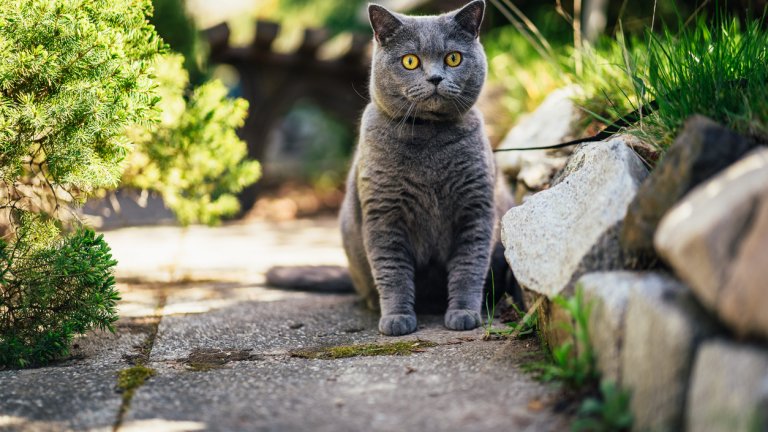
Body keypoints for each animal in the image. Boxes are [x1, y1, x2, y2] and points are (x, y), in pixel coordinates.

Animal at [340, 0, 512, 336]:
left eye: (453, 58)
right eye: (410, 61)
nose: (435, 78)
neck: (428, 136)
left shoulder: (476, 210)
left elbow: (469, 267)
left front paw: (463, 314)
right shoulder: (383, 214)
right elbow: (392, 271)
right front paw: (396, 319)